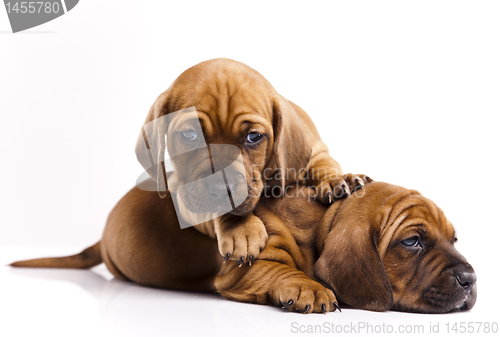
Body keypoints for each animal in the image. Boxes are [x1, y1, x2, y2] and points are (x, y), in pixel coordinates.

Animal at [8, 176, 476, 312]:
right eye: (413, 241)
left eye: (454, 239)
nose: (471, 280)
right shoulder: (249, 266)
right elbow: (283, 270)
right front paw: (307, 288)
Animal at [135, 57, 350, 264]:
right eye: (189, 134)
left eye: (253, 137)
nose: (221, 189)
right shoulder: (182, 195)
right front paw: (241, 230)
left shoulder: (316, 150)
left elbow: (322, 163)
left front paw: (334, 180)